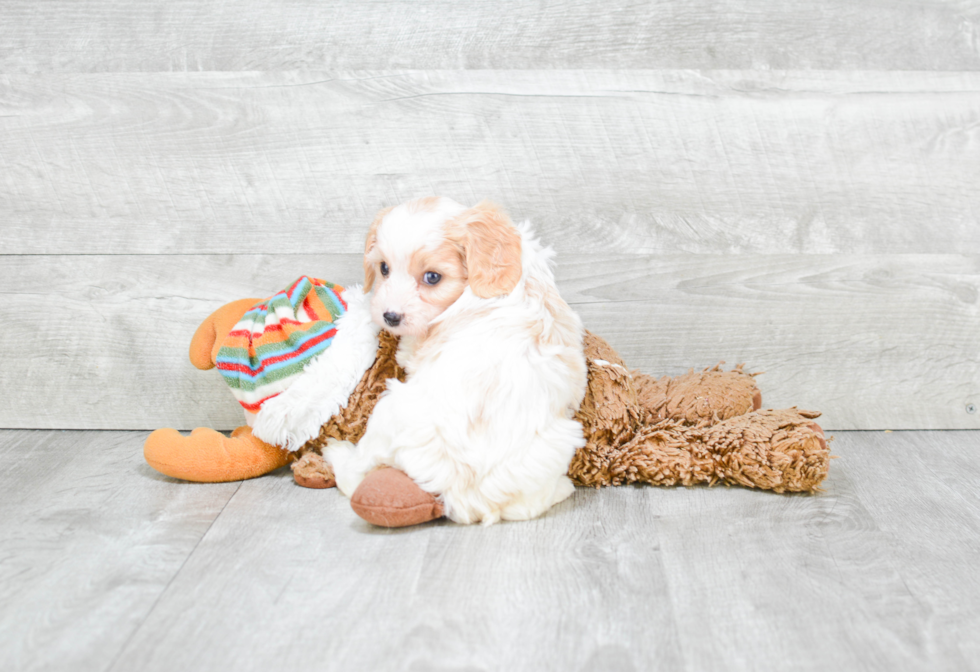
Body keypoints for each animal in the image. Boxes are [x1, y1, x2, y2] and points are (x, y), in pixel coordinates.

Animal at [328, 197, 588, 524]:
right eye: (384, 268)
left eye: (432, 277)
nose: (390, 316)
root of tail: (462, 496)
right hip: (559, 445)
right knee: (528, 505)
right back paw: (563, 489)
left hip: (387, 413)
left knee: (356, 472)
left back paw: (337, 453)